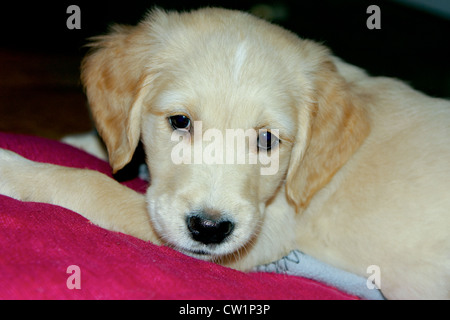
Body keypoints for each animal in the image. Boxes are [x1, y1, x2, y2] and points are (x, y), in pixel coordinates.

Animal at [0, 8, 448, 300]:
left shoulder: (266, 236)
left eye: (267, 140)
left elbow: (92, 184)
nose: (210, 229)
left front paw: (16, 168)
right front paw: (87, 141)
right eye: (180, 121)